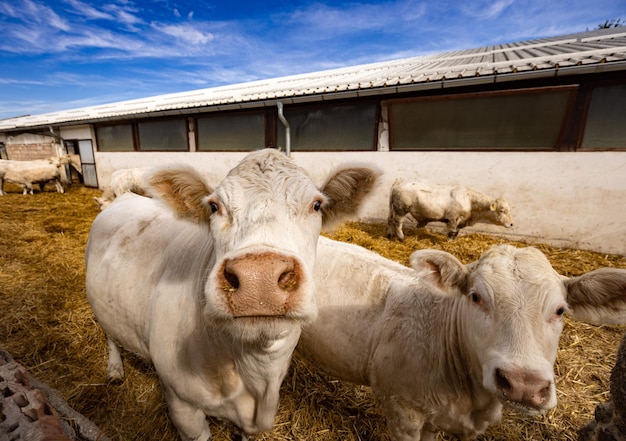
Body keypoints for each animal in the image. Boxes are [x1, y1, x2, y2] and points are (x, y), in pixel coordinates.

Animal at [84, 149, 378, 440]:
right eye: (214, 207)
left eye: (316, 205)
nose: (259, 278)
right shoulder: (182, 406)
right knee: (109, 332)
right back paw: (114, 370)